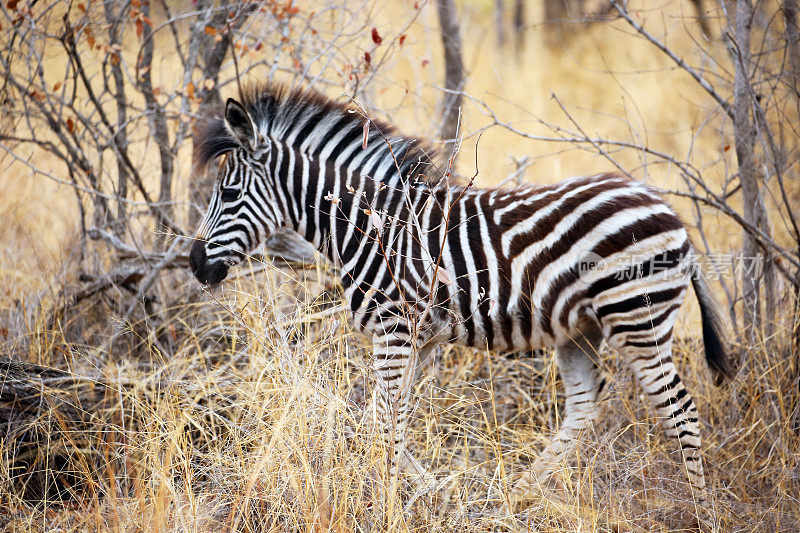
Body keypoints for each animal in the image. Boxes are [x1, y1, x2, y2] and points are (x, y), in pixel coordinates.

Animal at [188, 83, 732, 502]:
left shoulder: (394, 332)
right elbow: (391, 420)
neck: (369, 230)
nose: (195, 265)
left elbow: (382, 422)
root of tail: (671, 211)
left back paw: (701, 509)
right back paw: (518, 493)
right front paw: (426, 491)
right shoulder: (420, 338)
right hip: (580, 327)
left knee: (680, 410)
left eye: (229, 195)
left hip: (637, 316)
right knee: (584, 409)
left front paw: (387, 501)